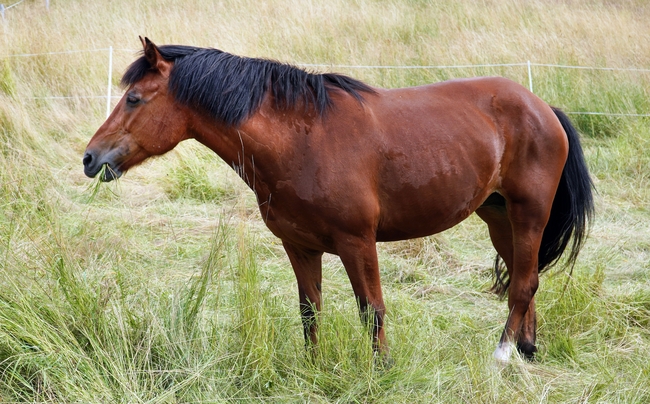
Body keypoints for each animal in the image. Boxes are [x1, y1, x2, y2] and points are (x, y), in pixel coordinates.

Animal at [83, 37, 588, 360]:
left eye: (134, 99)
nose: (90, 158)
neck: (301, 141)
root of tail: (543, 107)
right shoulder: (299, 246)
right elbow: (310, 312)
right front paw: (313, 368)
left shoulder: (357, 243)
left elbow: (372, 310)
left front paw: (381, 368)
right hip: (499, 217)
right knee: (524, 279)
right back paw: (526, 350)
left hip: (528, 213)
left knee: (523, 284)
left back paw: (502, 356)